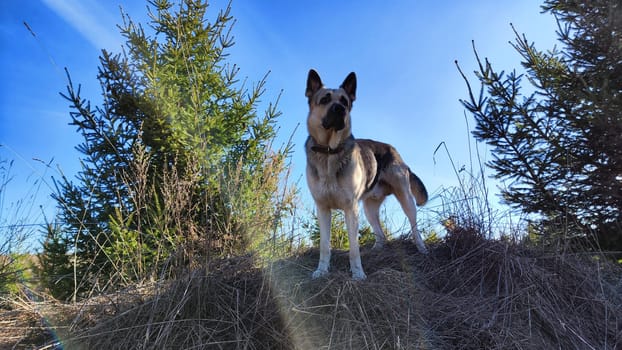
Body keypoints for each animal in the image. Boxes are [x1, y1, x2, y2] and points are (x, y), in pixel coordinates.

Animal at [306, 69, 428, 280]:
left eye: (345, 101)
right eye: (325, 99)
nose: (340, 110)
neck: (329, 151)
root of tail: (395, 151)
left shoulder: (350, 209)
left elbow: (354, 248)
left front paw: (358, 274)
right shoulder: (323, 210)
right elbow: (324, 246)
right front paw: (321, 271)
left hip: (406, 200)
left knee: (415, 228)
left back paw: (422, 249)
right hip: (369, 209)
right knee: (381, 235)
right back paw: (376, 250)